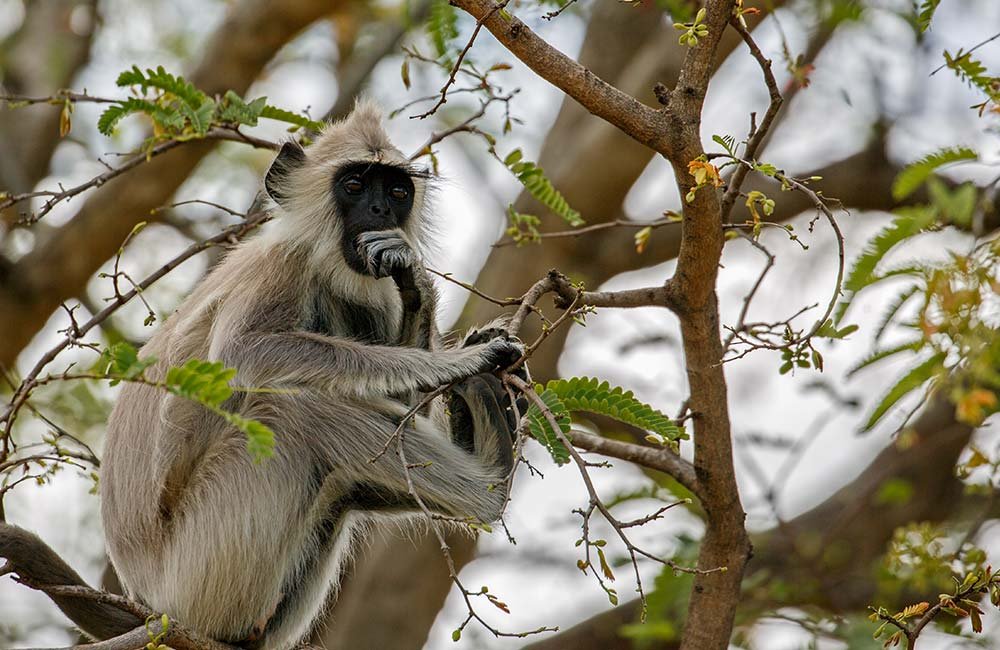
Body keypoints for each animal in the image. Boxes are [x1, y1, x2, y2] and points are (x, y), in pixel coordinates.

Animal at [0, 98, 528, 644]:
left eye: (397, 191)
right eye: (355, 185)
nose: (381, 211)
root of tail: (152, 606)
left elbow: (403, 407)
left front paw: (418, 287)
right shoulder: (281, 267)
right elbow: (243, 353)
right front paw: (455, 362)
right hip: (205, 567)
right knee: (296, 412)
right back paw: (491, 480)